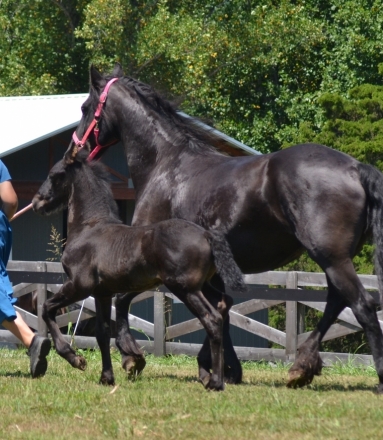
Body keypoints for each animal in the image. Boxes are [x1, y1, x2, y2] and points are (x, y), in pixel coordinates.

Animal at [31, 144, 244, 388]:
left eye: (54, 175)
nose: (37, 202)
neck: (89, 227)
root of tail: (207, 235)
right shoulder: (102, 293)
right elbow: (103, 334)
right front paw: (106, 377)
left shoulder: (79, 286)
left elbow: (47, 309)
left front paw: (75, 358)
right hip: (204, 285)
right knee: (222, 305)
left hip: (186, 288)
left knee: (211, 319)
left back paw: (215, 381)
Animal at [70, 62, 383, 392]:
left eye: (85, 107)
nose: (75, 148)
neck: (166, 166)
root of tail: (356, 168)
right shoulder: (210, 272)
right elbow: (223, 308)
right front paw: (225, 369)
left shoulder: (151, 264)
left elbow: (124, 299)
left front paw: (133, 356)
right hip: (335, 258)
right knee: (337, 302)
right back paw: (302, 367)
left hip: (330, 256)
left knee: (361, 305)